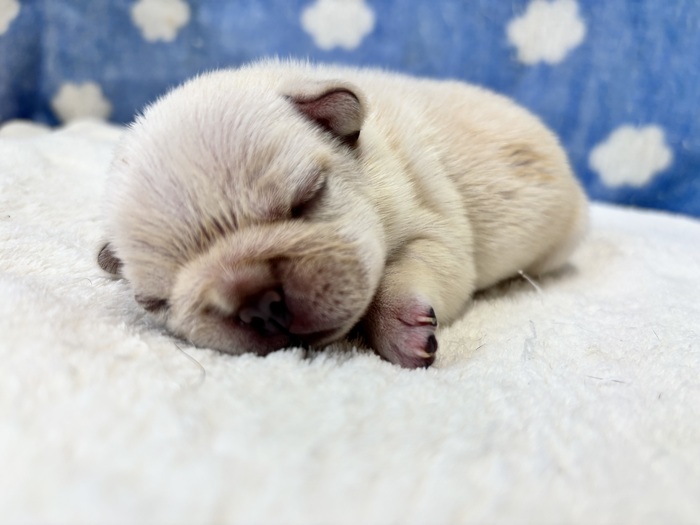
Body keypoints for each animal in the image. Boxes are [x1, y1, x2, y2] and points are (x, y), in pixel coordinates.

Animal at [98, 59, 588, 369]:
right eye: (156, 301)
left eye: (308, 198)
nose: (259, 304)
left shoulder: (437, 229)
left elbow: (407, 268)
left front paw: (397, 324)